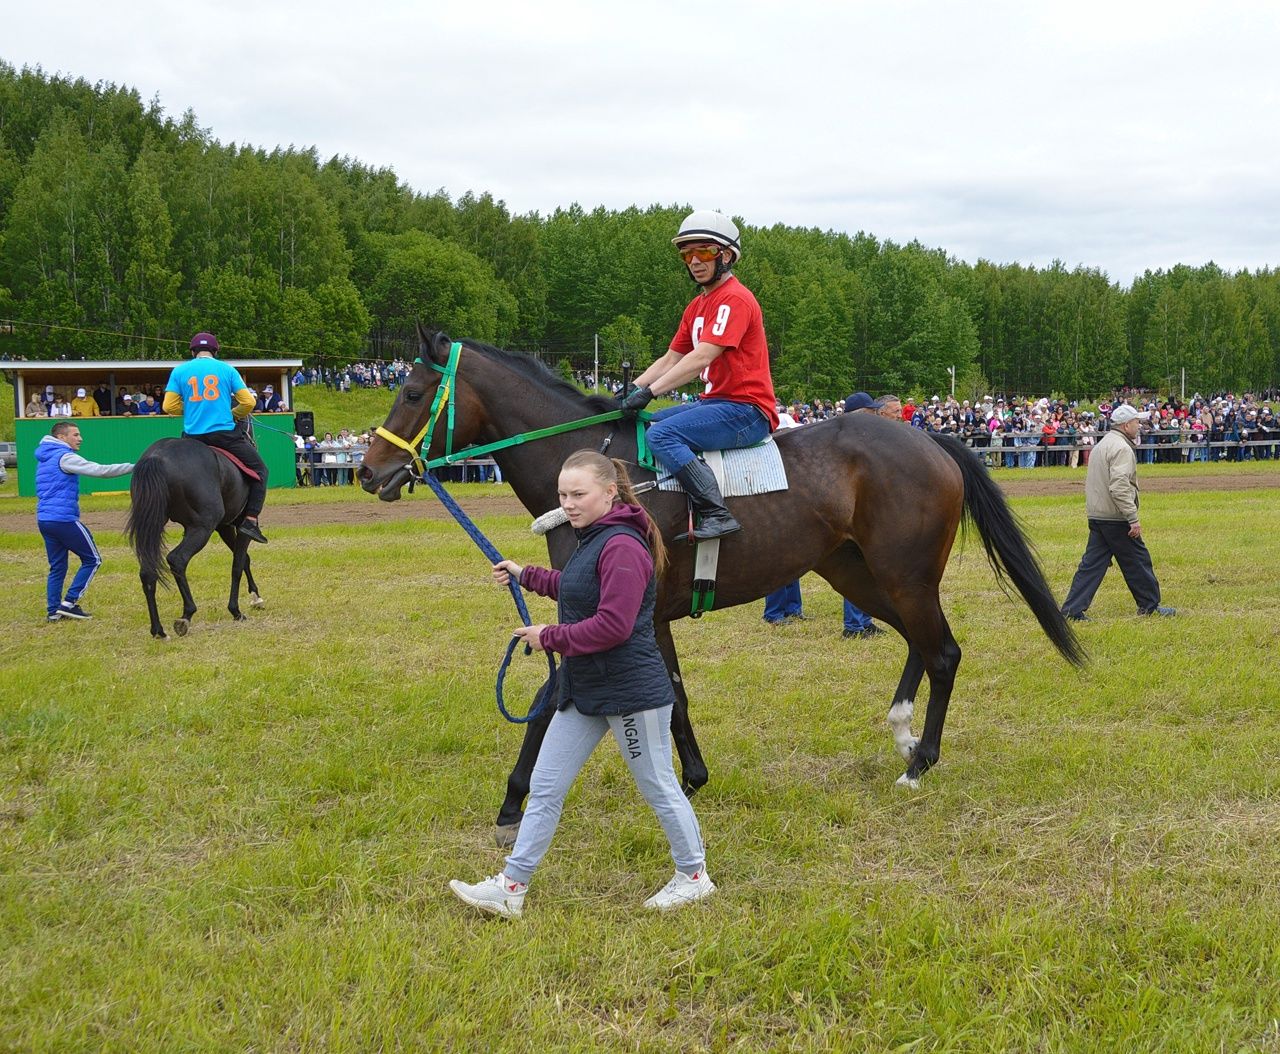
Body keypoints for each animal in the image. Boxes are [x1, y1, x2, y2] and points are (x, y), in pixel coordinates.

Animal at [124, 437, 264, 637]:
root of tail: (157, 456)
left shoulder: (224, 526)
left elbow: (244, 559)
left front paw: (255, 597)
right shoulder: (241, 526)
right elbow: (238, 564)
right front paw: (236, 610)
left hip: (155, 523)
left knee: (148, 571)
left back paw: (158, 630)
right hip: (202, 528)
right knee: (177, 559)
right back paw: (186, 614)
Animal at [363, 330, 1090, 840]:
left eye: (412, 394)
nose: (370, 471)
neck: (601, 474)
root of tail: (930, 439)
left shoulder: (608, 614)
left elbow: (547, 700)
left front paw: (514, 799)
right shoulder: (648, 619)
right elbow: (673, 698)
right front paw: (691, 777)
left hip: (902, 574)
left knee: (942, 651)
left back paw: (920, 762)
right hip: (857, 573)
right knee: (922, 644)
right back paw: (904, 731)